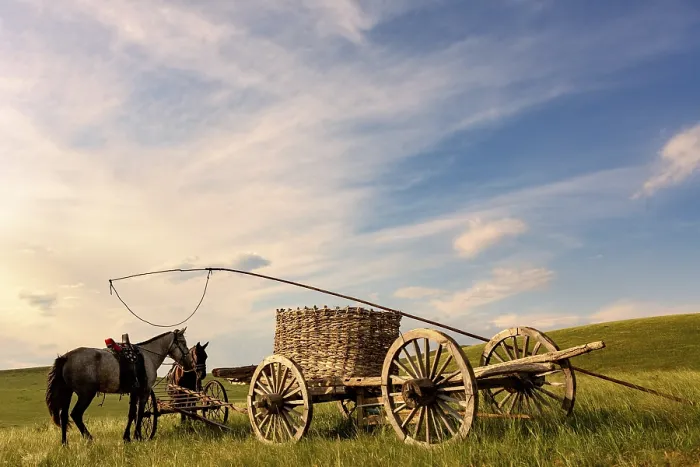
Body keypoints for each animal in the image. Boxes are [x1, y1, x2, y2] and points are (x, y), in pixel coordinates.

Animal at [45, 328, 194, 445]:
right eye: (183, 343)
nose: (189, 363)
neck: (148, 356)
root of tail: (66, 357)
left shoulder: (134, 391)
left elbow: (132, 414)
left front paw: (127, 437)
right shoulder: (144, 391)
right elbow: (140, 413)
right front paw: (138, 436)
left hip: (67, 393)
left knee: (64, 416)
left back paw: (65, 443)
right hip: (86, 394)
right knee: (76, 414)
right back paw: (89, 439)